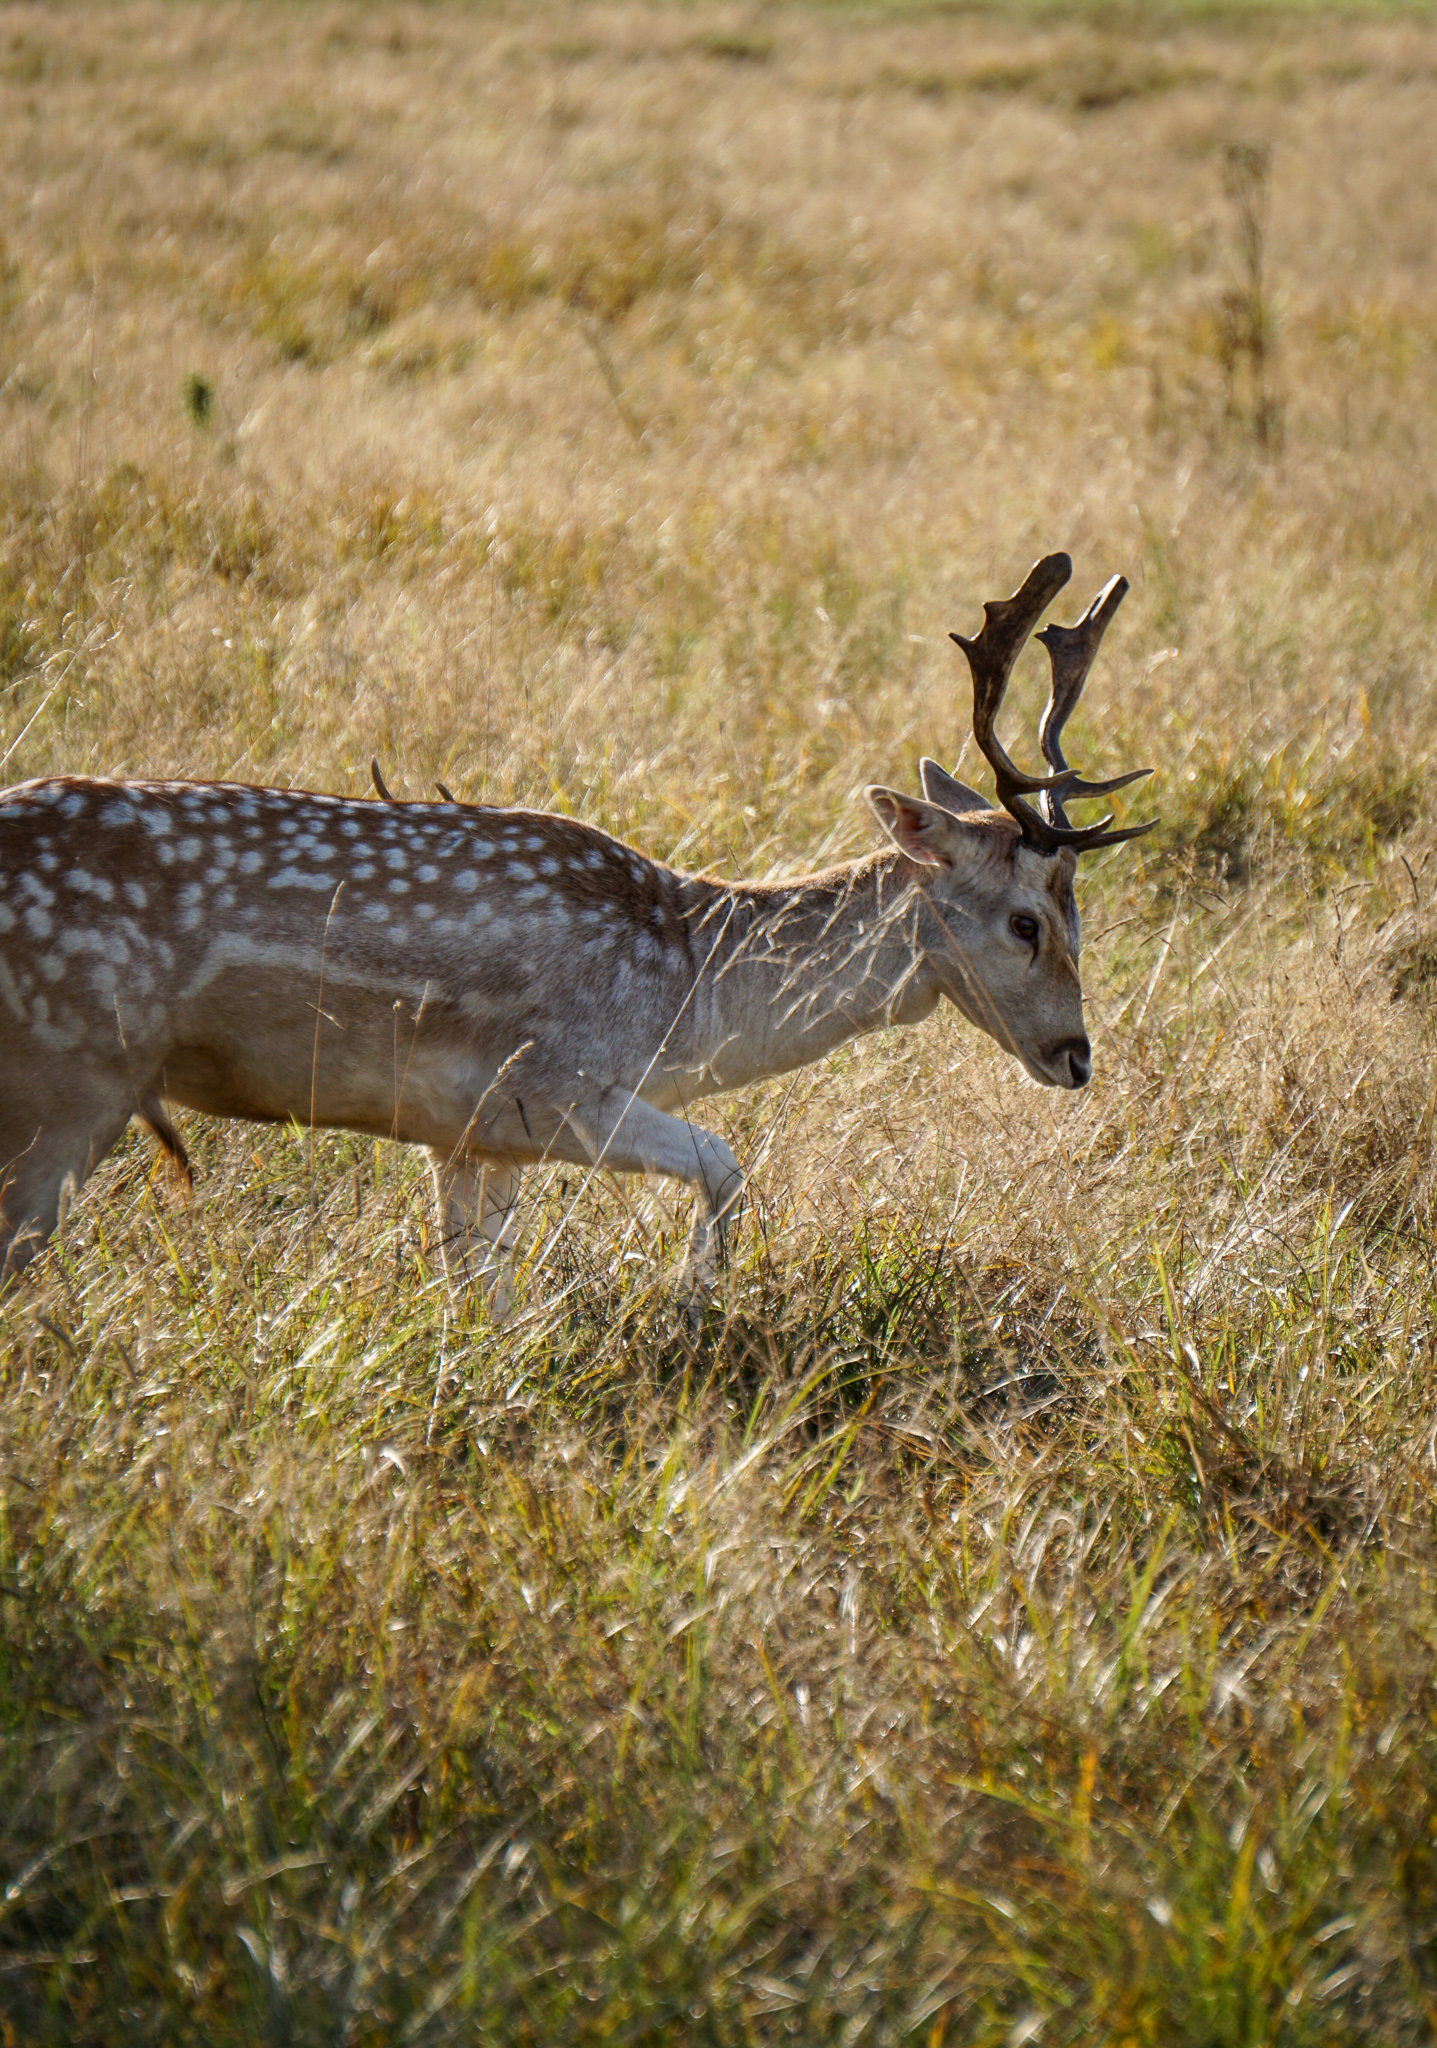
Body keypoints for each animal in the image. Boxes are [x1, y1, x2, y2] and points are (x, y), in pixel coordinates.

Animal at [0, 552, 1154, 1308]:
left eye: (1079, 914)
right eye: (1025, 920)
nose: (1076, 1055)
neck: (687, 989)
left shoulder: (468, 1133)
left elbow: (482, 1302)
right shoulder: (550, 1087)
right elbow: (726, 1164)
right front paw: (691, 1308)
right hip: (67, 1082)